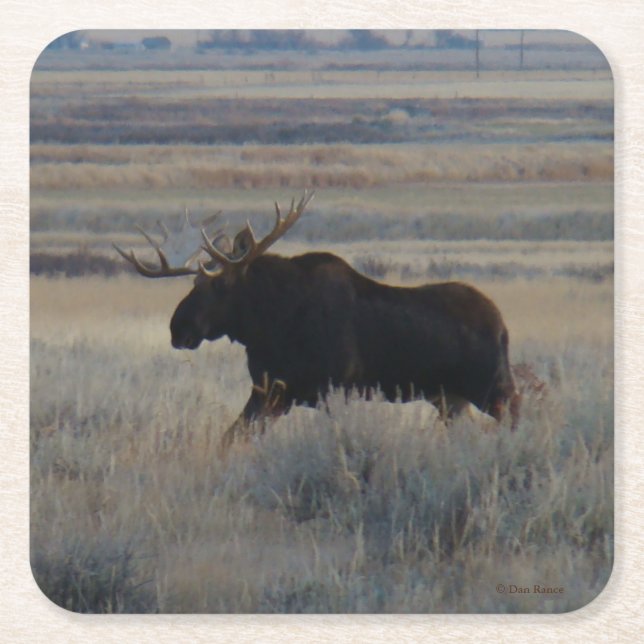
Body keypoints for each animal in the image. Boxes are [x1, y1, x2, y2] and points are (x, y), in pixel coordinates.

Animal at [114, 191, 520, 450]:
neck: (268, 327)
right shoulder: (271, 392)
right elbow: (231, 437)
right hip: (450, 399)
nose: (178, 329)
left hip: (493, 387)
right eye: (194, 282)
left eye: (222, 284)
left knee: (519, 417)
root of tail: (503, 325)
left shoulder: (331, 389)